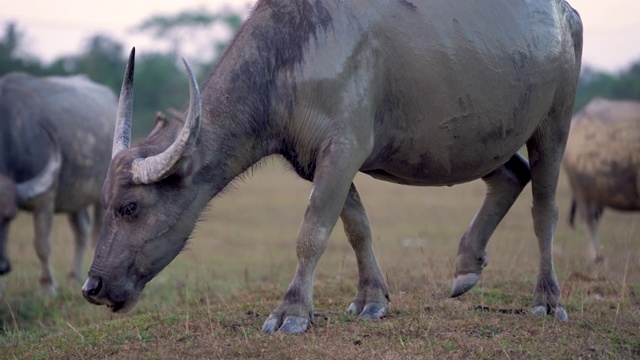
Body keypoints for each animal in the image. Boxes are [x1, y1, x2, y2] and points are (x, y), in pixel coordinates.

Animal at [0, 71, 116, 294]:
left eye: (9, 216)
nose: (1, 266)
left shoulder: (45, 199)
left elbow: (42, 244)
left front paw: (47, 286)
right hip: (75, 197)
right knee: (81, 230)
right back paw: (73, 277)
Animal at [82, 0, 584, 334]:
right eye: (106, 204)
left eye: (129, 207)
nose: (92, 285)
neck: (288, 56)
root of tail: (566, 14)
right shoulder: (319, 161)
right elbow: (355, 225)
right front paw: (371, 299)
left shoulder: (343, 150)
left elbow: (312, 231)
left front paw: (291, 312)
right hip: (474, 140)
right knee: (511, 175)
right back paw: (466, 267)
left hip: (554, 123)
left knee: (545, 208)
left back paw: (547, 299)